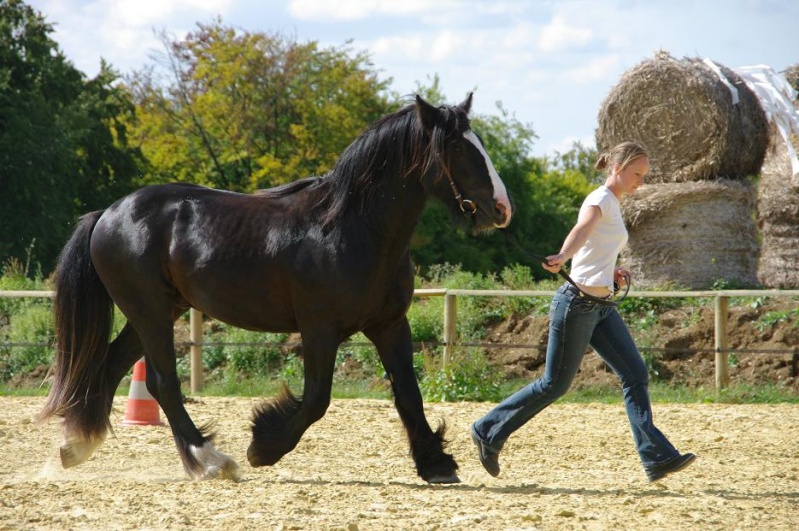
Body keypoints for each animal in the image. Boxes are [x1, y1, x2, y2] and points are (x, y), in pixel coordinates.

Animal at [39, 93, 512, 484]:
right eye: (457, 147)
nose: (502, 208)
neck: (352, 229)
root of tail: (108, 214)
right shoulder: (319, 328)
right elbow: (317, 399)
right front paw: (263, 446)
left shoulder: (390, 324)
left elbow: (408, 393)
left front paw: (436, 464)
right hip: (149, 310)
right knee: (162, 383)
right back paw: (210, 461)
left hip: (157, 311)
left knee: (111, 367)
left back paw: (76, 447)